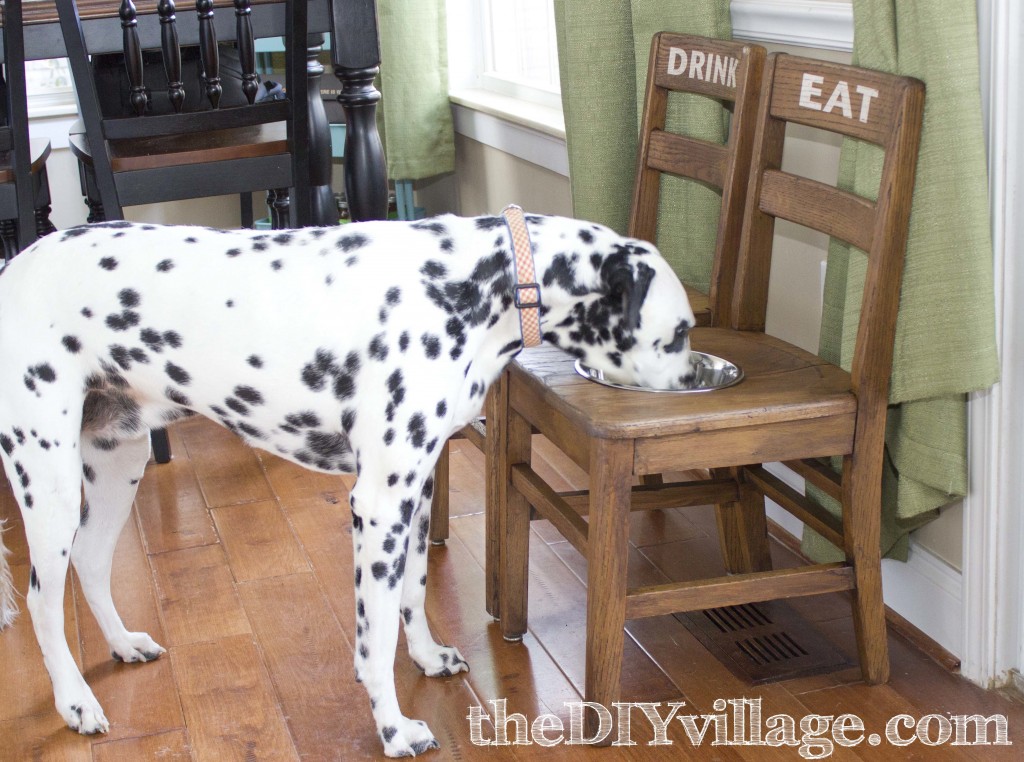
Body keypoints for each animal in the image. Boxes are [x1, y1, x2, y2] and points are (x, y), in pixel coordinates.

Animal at [0, 213, 696, 757]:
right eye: (682, 332)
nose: (699, 379)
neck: (473, 284)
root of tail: (13, 267)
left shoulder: (417, 494)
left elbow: (414, 593)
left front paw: (428, 657)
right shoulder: (380, 504)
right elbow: (375, 638)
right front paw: (394, 728)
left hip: (117, 465)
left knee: (91, 564)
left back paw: (121, 645)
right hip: (49, 484)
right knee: (41, 601)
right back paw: (74, 702)